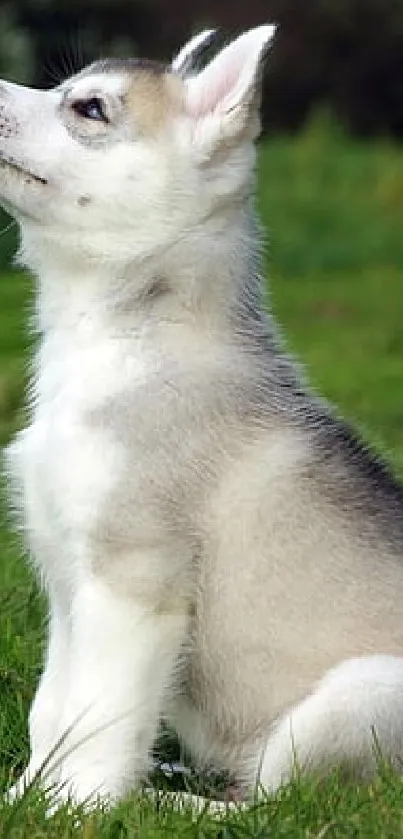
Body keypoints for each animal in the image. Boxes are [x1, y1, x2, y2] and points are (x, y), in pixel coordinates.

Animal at [2, 27, 403, 808]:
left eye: (89, 107)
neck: (127, 335)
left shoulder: (131, 579)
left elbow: (97, 719)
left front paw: (84, 808)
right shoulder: (68, 581)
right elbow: (54, 710)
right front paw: (29, 796)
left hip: (353, 699)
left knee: (275, 801)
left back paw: (166, 799)